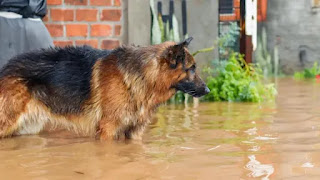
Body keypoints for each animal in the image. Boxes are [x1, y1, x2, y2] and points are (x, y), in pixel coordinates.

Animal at [0, 37, 210, 140]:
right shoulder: (108, 129)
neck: (143, 75)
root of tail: (6, 66)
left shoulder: (134, 132)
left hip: (26, 128)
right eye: (191, 68)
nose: (208, 91)